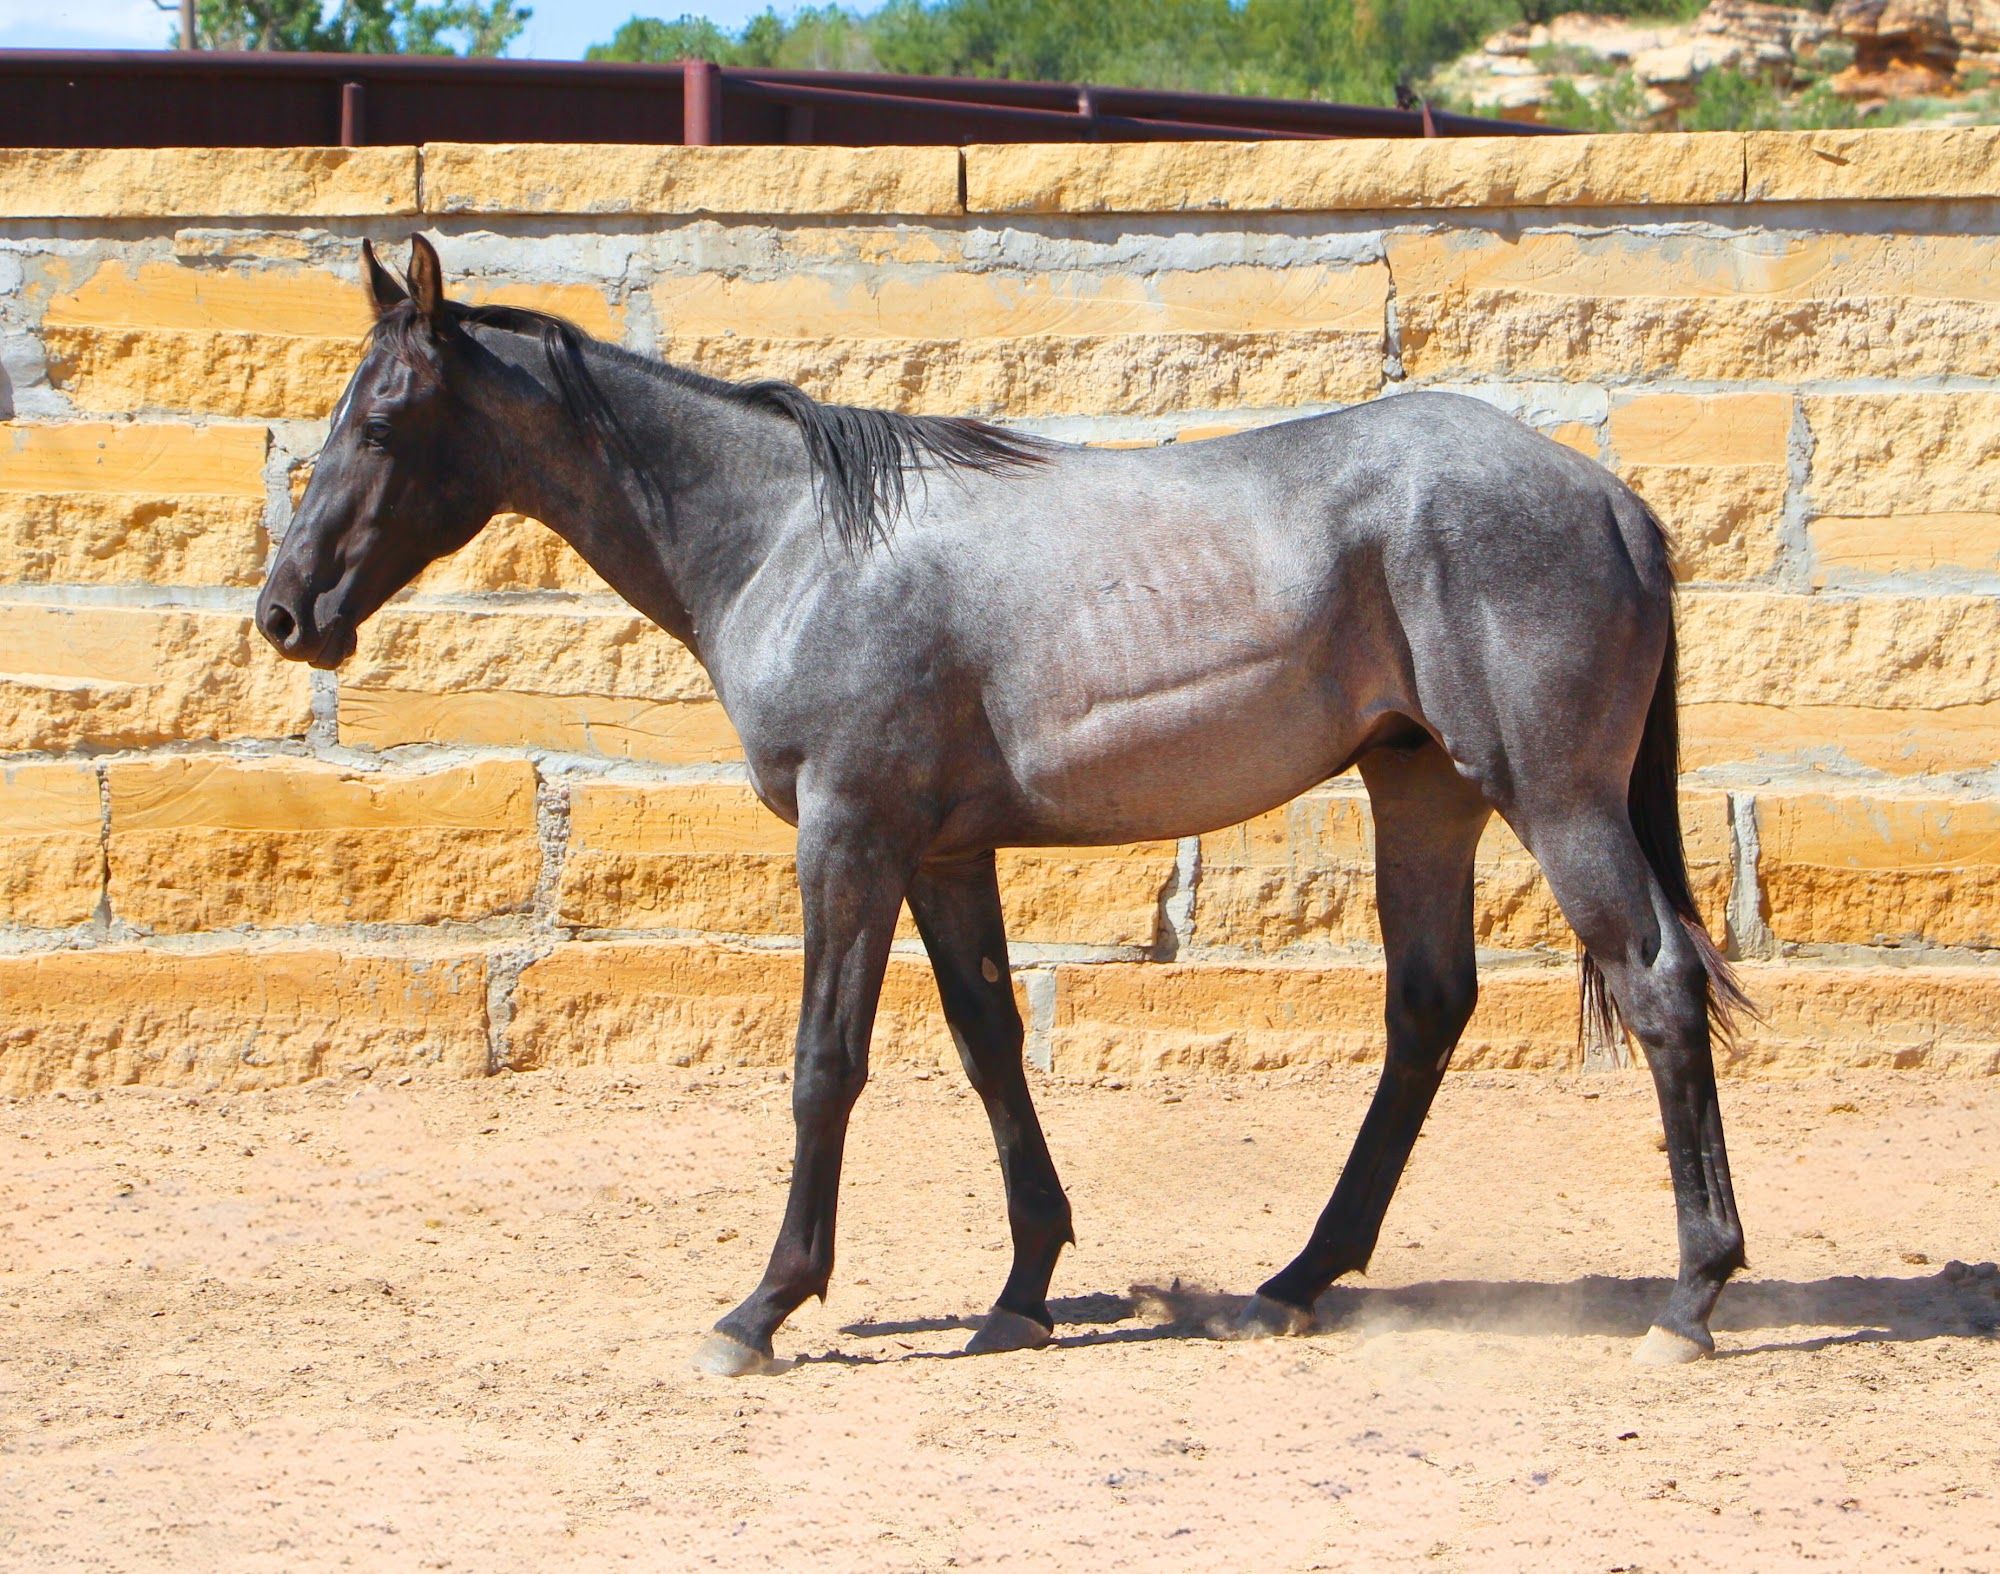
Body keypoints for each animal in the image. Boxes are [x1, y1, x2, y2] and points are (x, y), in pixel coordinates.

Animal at [257, 236, 1751, 1377]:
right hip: (1422, 790)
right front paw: (1021, 1290)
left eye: (381, 420)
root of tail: (1611, 502)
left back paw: (1692, 1296)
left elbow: (825, 1061)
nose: (284, 613)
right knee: (1427, 1008)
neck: (798, 540)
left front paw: (762, 1306)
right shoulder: (943, 854)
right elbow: (990, 1052)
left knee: (1658, 983)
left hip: (1549, 798)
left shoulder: (850, 835)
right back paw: (1295, 1280)